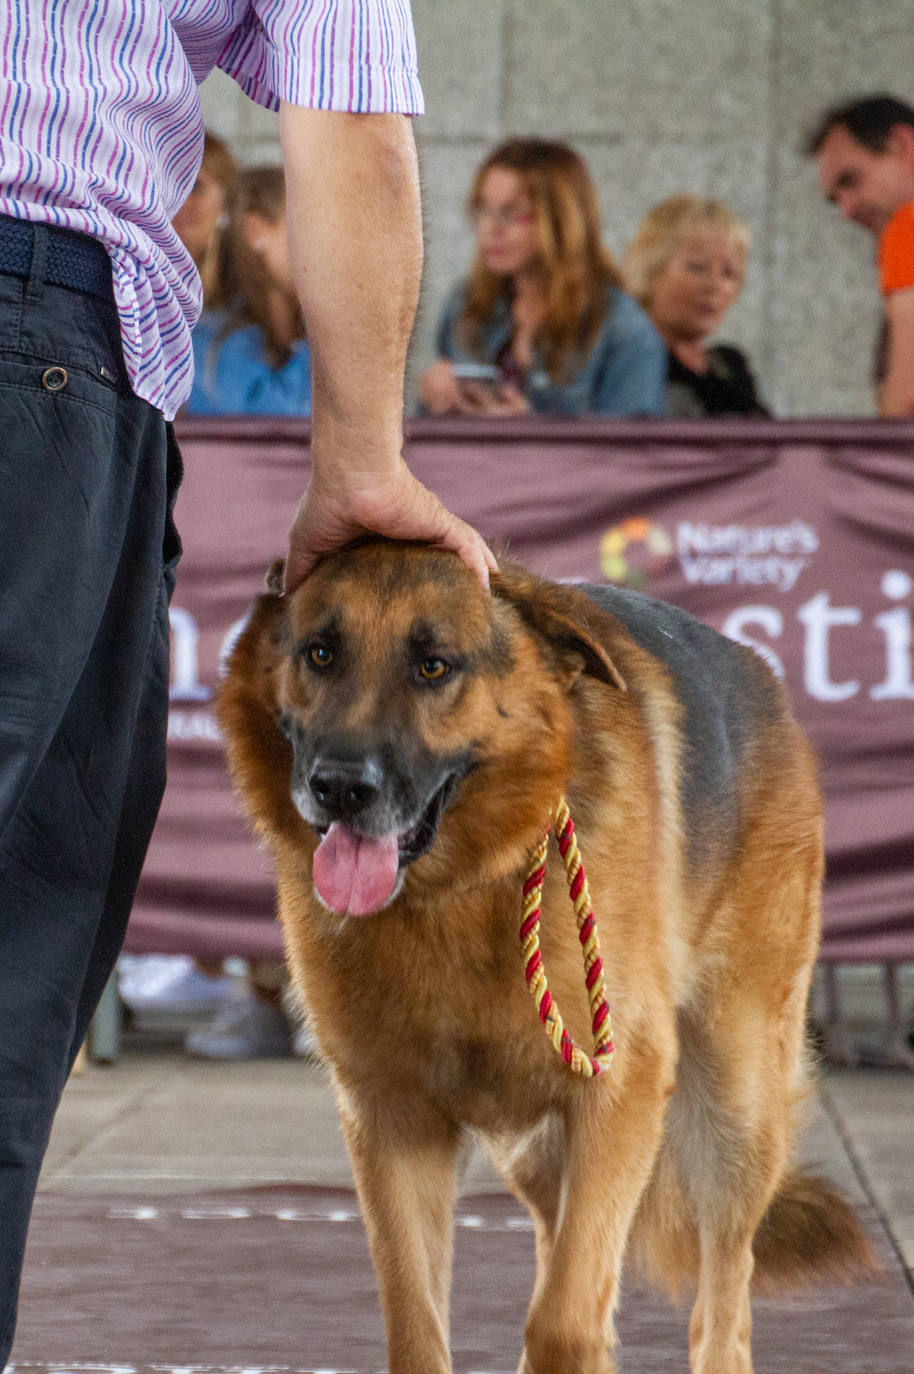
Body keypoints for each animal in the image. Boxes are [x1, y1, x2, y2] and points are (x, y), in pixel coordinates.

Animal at [217, 535, 868, 1374]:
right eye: (321, 653)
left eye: (434, 666)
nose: (339, 788)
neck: (462, 888)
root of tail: (763, 677)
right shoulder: (394, 1125)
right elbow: (418, 1325)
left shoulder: (617, 1095)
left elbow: (563, 1320)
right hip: (540, 1153)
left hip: (734, 1104)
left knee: (721, 1290)